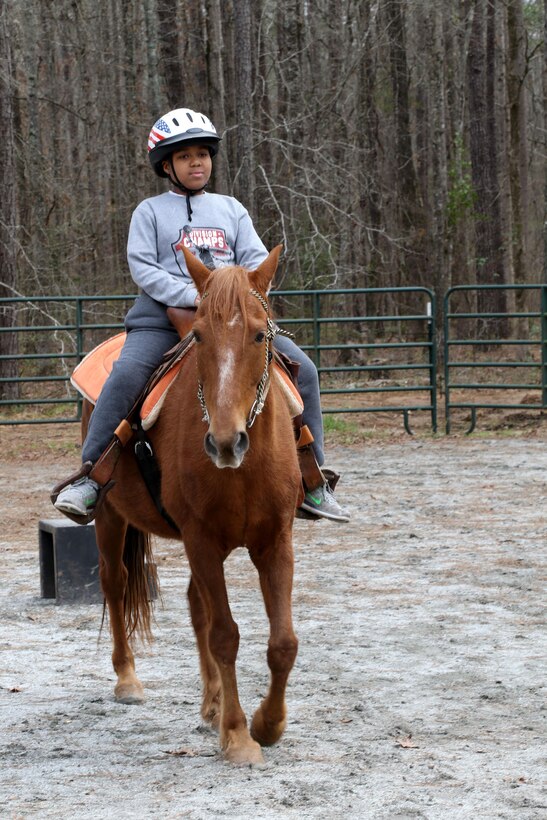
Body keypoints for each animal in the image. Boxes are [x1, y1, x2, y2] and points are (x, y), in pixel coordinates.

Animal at [85, 243, 300, 764]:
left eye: (259, 333)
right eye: (199, 336)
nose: (225, 442)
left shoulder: (275, 540)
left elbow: (282, 642)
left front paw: (268, 724)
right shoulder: (201, 540)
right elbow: (225, 635)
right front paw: (240, 737)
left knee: (193, 603)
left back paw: (212, 703)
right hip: (110, 516)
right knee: (115, 583)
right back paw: (128, 680)